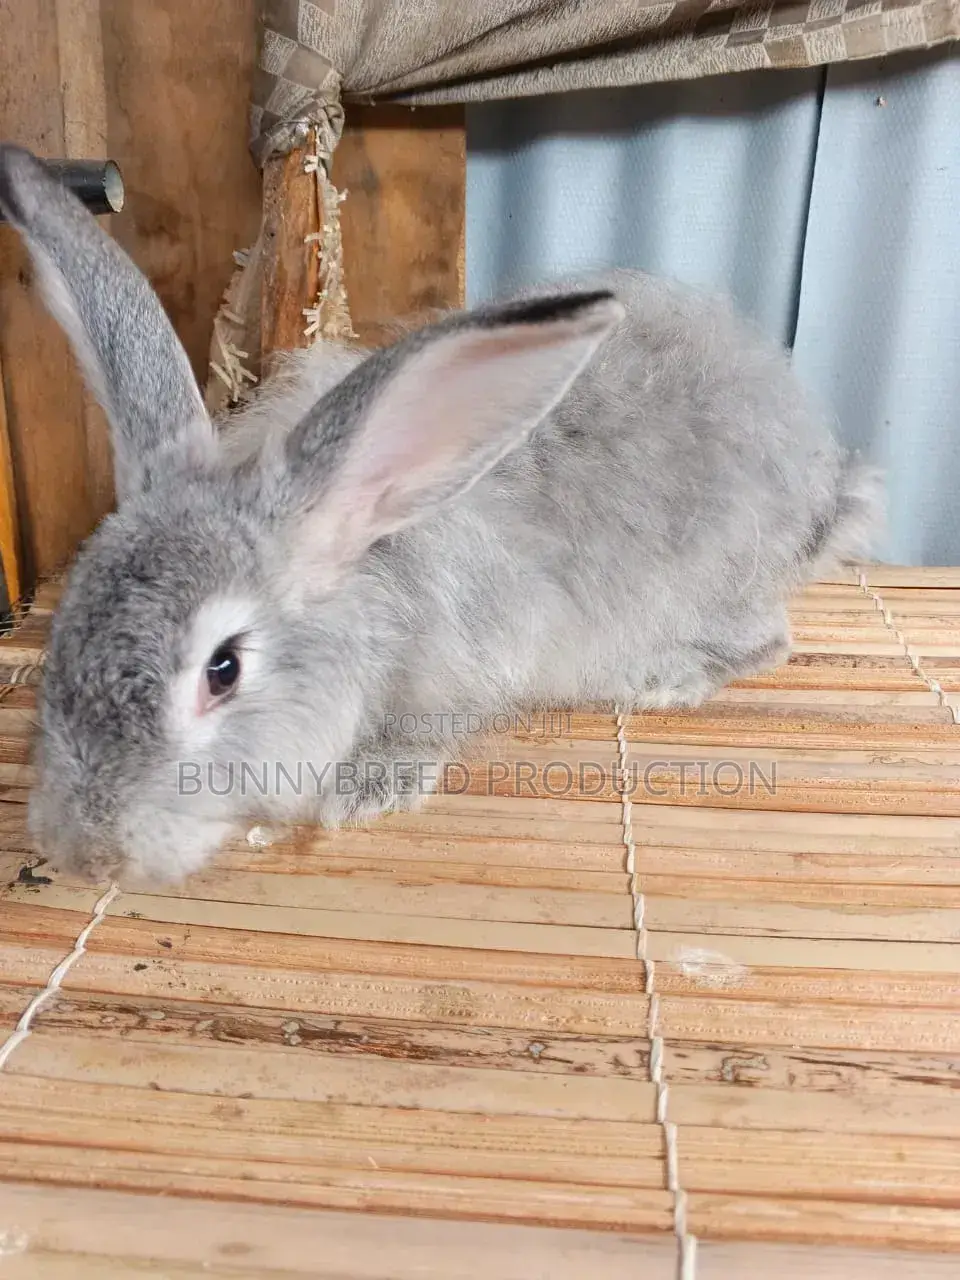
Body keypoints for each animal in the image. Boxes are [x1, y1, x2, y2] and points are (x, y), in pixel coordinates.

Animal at [0, 143, 881, 887]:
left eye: (224, 669)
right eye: (66, 625)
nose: (87, 855)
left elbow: (427, 728)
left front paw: (367, 787)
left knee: (770, 640)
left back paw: (663, 677)